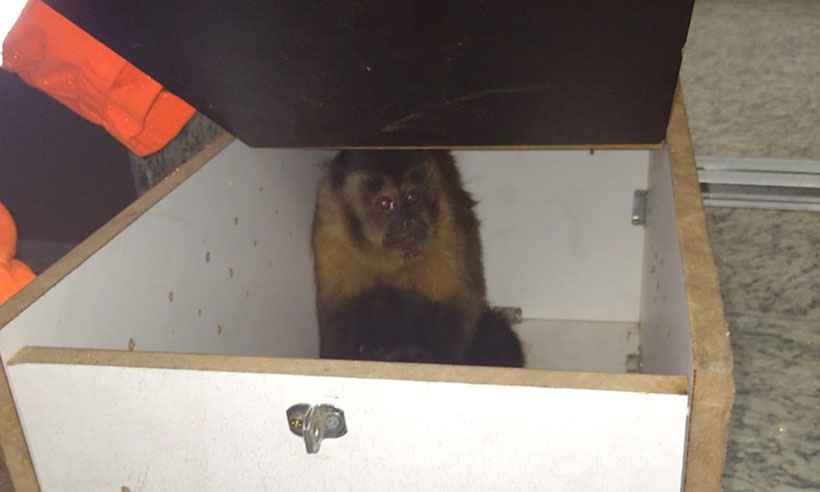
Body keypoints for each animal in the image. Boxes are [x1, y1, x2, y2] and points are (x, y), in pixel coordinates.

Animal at [311, 149, 524, 367]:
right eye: (385, 203)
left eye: (412, 196)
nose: (408, 221)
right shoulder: (332, 227)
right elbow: (336, 308)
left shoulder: (447, 222)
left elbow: (460, 302)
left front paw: (439, 360)